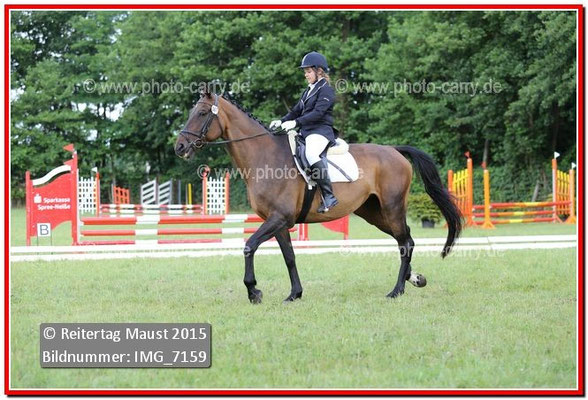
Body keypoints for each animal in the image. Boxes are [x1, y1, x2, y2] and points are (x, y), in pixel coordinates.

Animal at [174, 91, 463, 303]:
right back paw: (415, 279)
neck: (263, 156)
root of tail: (394, 150)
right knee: (406, 239)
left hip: (392, 207)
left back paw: (397, 290)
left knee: (405, 243)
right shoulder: (279, 223)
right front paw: (294, 294)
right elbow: (289, 257)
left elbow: (249, 246)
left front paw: (254, 291)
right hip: (373, 213)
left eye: (202, 113)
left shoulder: (278, 218)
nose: (179, 147)